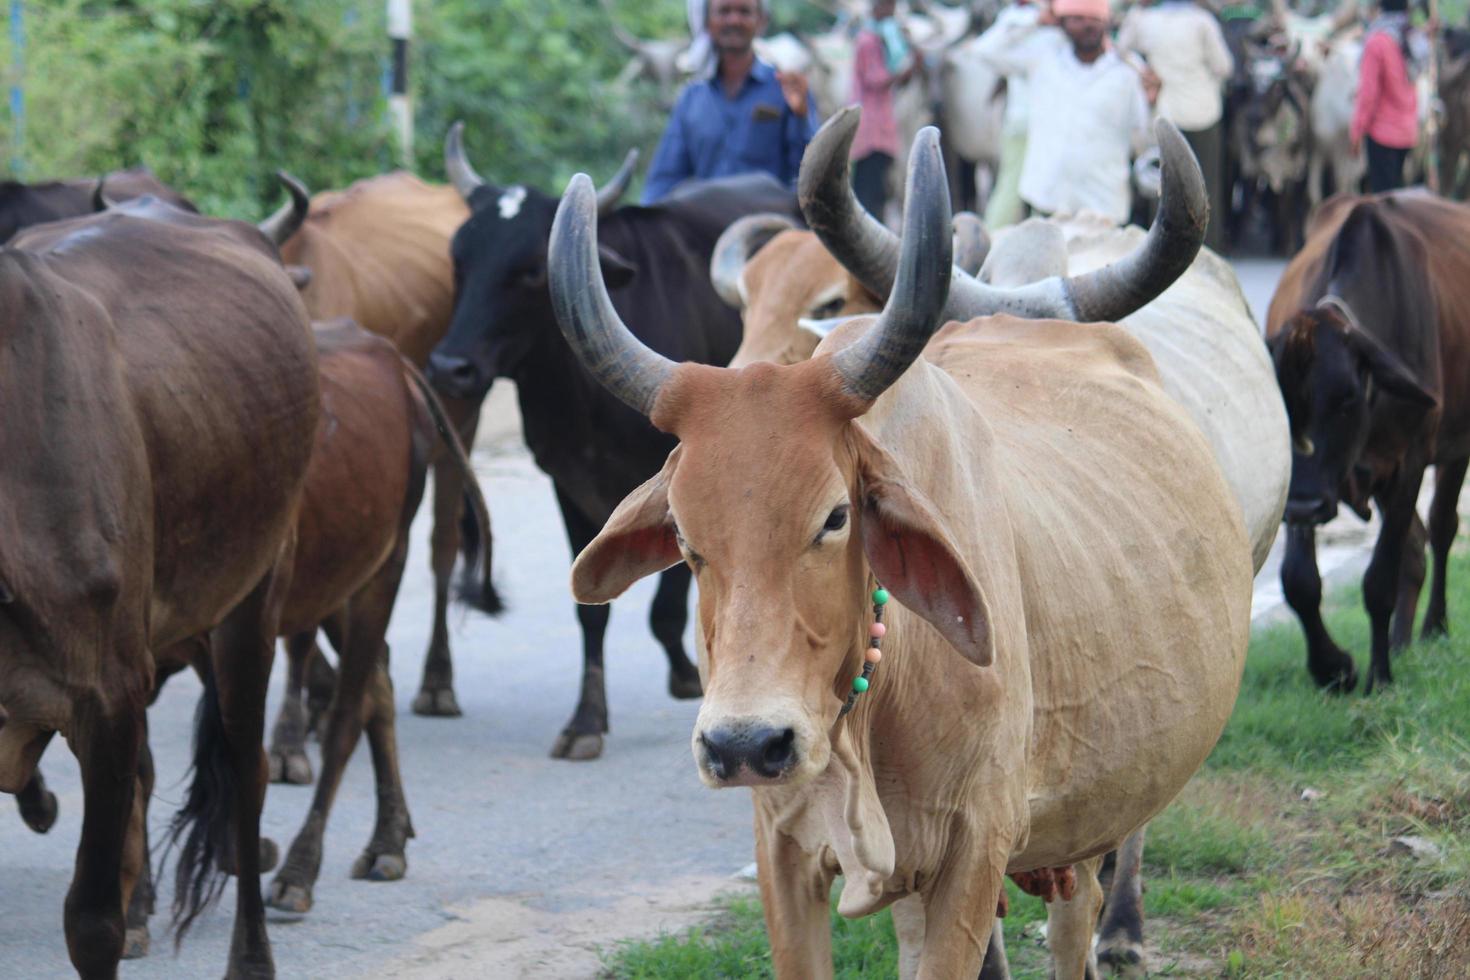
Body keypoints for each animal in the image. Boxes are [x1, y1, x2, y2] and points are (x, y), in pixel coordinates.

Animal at [540, 126, 1252, 975]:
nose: (744, 743)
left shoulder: (975, 851)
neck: (877, 699)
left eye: (836, 516)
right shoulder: (784, 851)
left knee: (1076, 921)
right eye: (682, 532)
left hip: (1089, 812)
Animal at [1264, 191, 1470, 693]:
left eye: (1347, 398)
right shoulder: (1308, 483)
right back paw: (1401, 642)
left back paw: (1433, 627)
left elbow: (1379, 580)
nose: (1302, 505)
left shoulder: (1410, 460)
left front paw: (1378, 677)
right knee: (1417, 544)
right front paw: (1334, 667)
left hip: (1453, 449)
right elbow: (1298, 581)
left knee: (1441, 527)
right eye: (1278, 401)